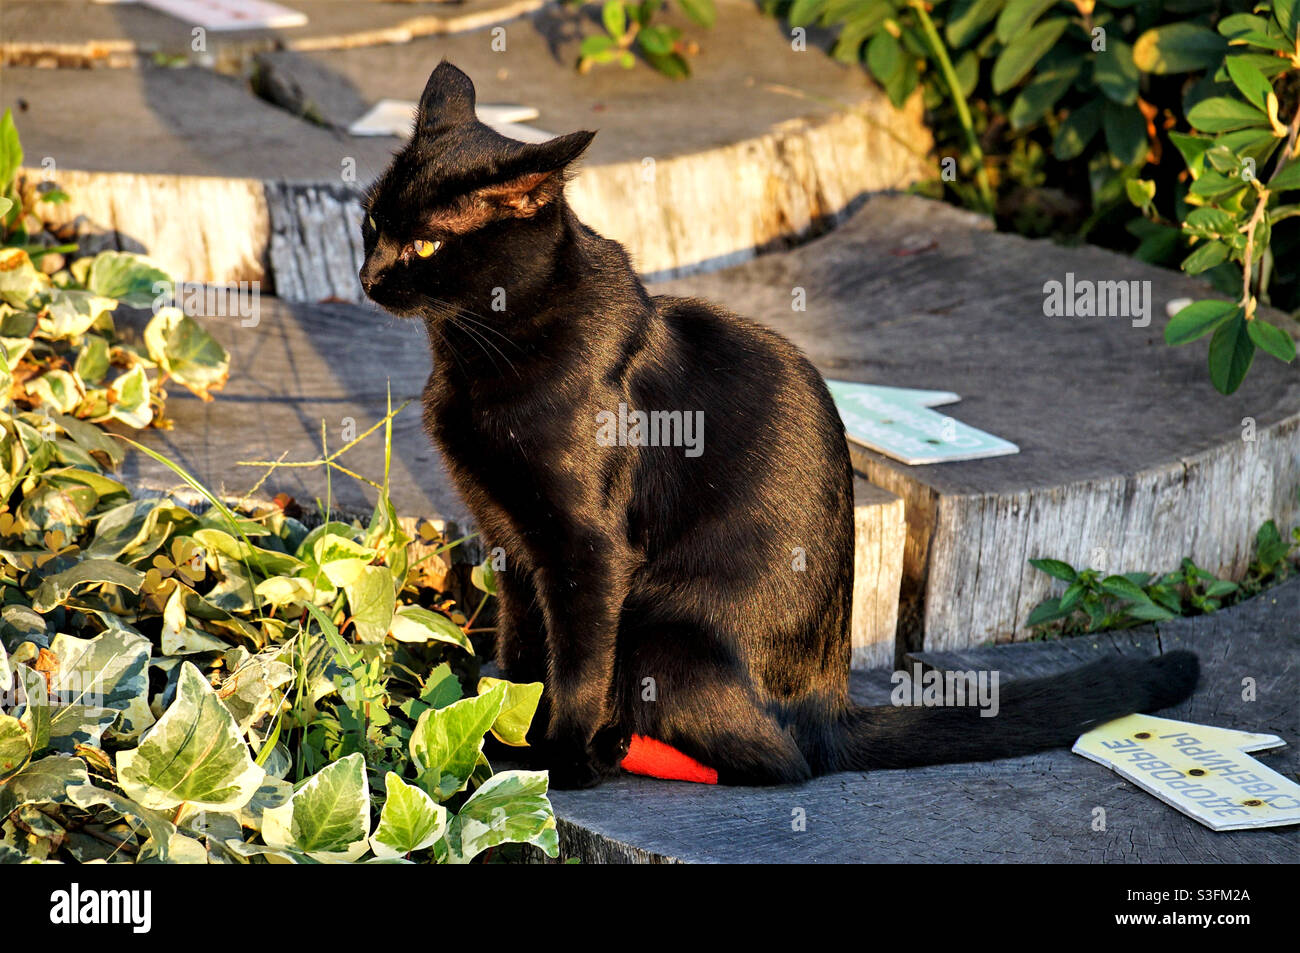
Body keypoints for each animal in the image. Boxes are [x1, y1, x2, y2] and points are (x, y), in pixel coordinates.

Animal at [361, 61, 1201, 790]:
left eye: (427, 243)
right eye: (371, 221)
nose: (366, 276)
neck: (478, 351)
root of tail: (831, 704)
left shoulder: (586, 553)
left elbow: (574, 670)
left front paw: (559, 762)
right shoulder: (508, 537)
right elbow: (521, 652)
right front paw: (499, 735)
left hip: (660, 632)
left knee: (776, 762)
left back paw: (621, 750)